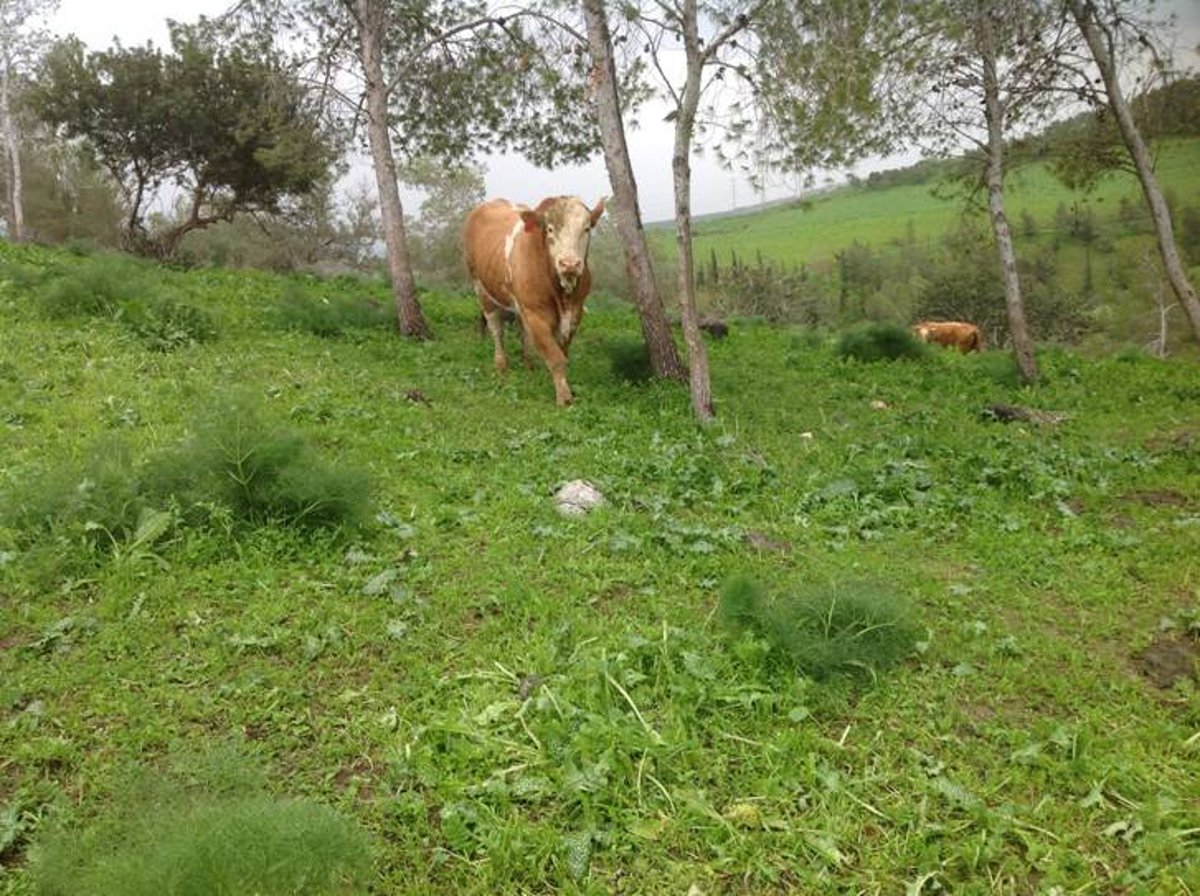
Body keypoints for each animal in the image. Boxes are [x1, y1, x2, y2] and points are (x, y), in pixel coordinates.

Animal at [463, 199, 604, 405]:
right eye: (550, 229)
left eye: (586, 228)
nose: (569, 264)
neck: (563, 295)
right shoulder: (536, 315)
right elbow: (556, 357)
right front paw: (564, 398)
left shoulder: (575, 314)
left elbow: (562, 353)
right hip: (482, 290)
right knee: (497, 330)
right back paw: (501, 364)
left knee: (523, 333)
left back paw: (528, 363)